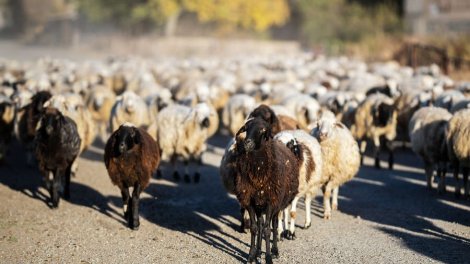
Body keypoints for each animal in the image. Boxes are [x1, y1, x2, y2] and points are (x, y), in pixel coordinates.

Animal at [233, 118, 300, 264]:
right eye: (246, 128)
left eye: (263, 131)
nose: (247, 143)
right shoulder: (249, 200)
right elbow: (254, 228)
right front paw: (251, 256)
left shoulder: (271, 201)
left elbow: (268, 230)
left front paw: (269, 257)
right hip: (259, 205)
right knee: (260, 225)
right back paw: (258, 252)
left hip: (277, 203)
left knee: (273, 224)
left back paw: (275, 251)